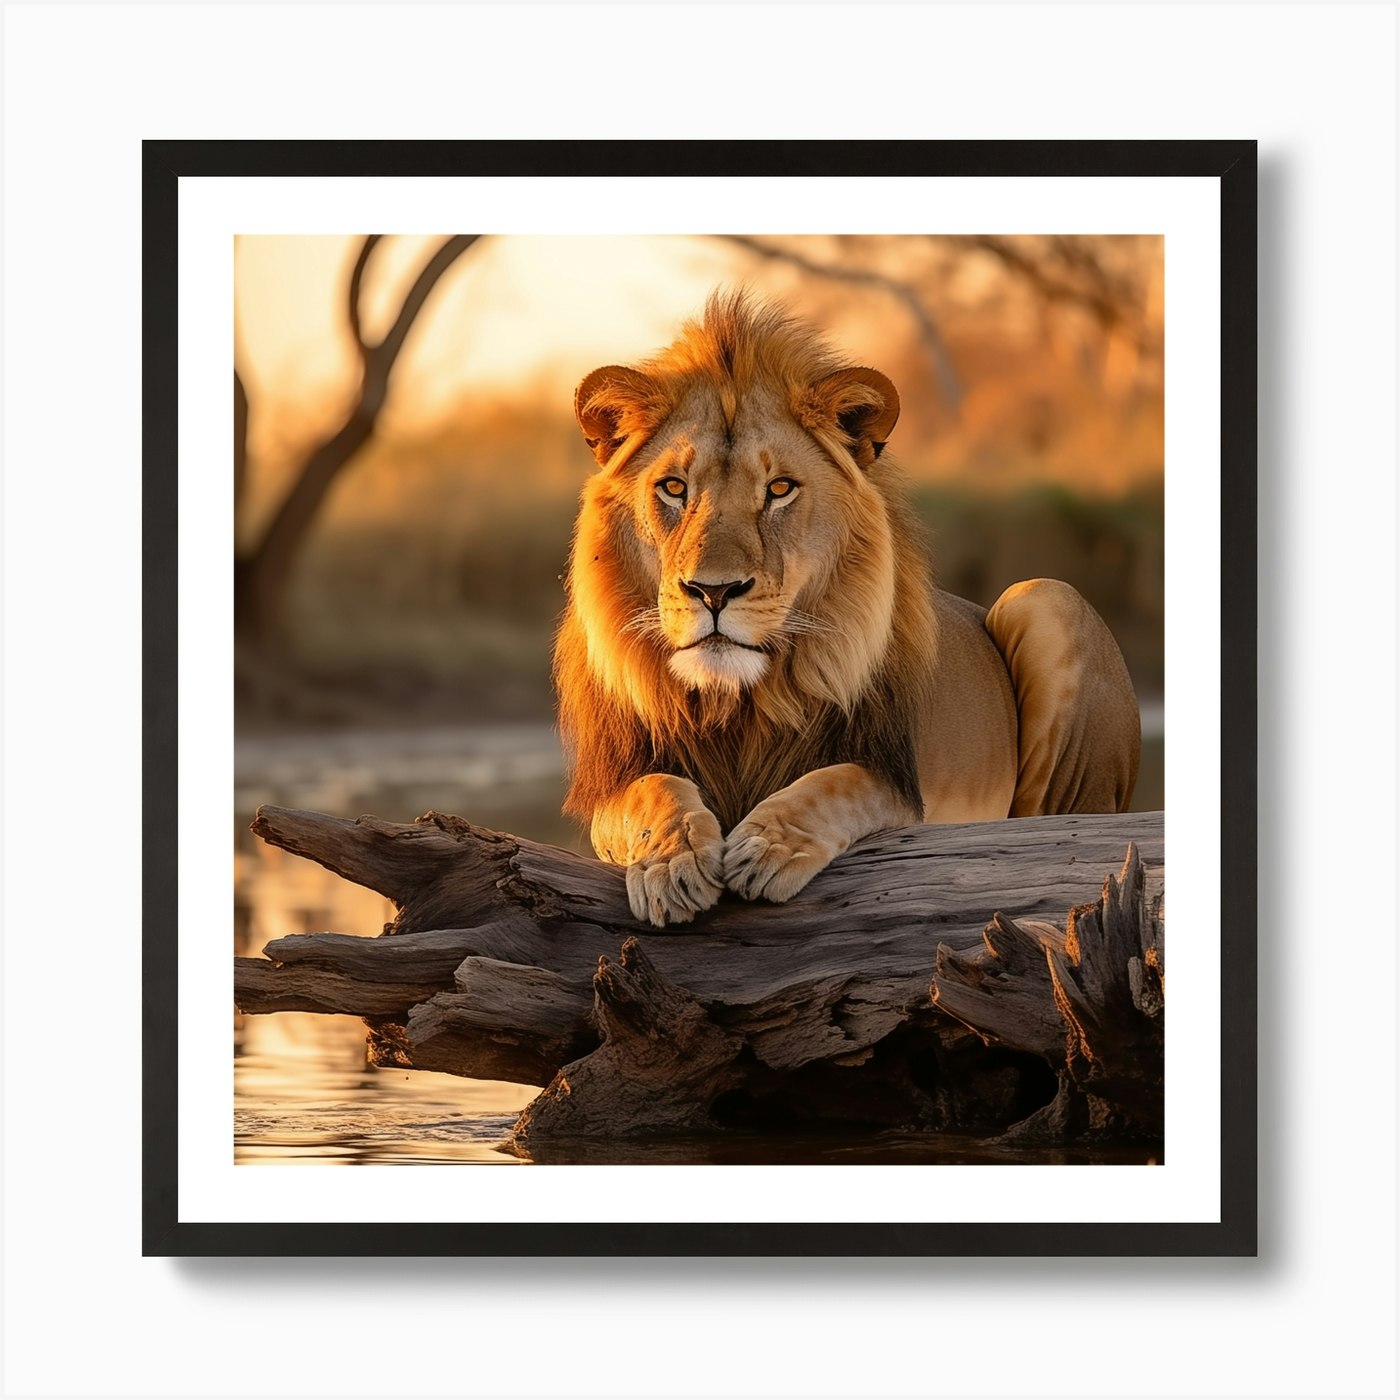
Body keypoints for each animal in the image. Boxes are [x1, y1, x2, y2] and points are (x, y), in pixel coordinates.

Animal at [554, 291, 1141, 927]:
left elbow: (832, 783)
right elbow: (651, 791)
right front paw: (671, 859)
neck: (740, 704)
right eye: (674, 488)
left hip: (1048, 599)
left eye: (780, 489)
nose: (714, 591)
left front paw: (766, 845)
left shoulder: (895, 780)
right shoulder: (613, 782)